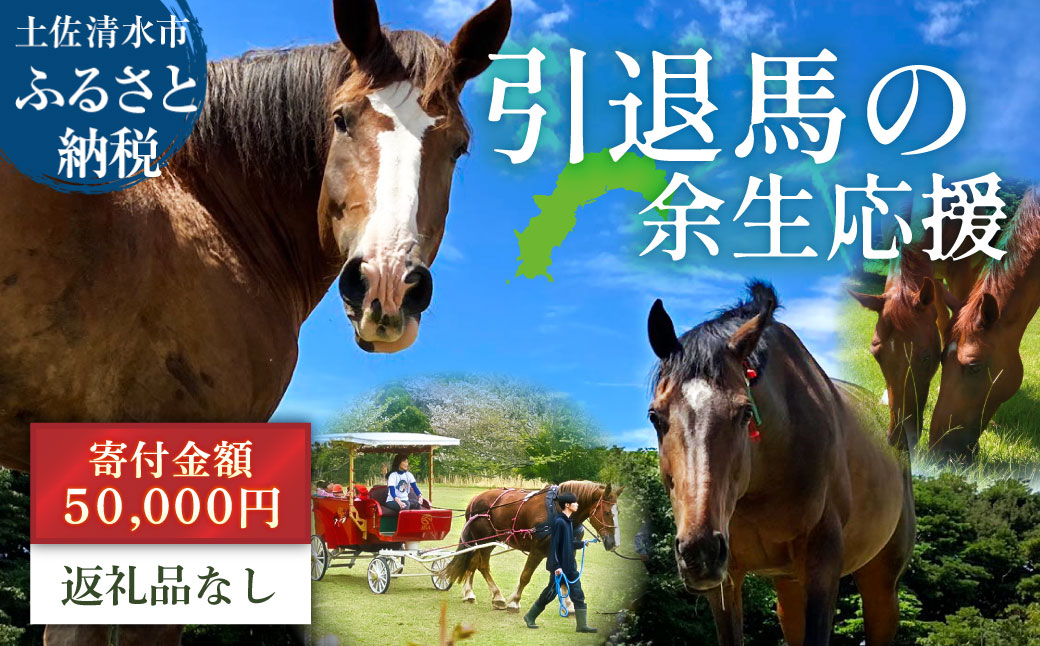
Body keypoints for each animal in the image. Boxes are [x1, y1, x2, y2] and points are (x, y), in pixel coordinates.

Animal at [443, 481, 622, 613]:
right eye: (607, 512)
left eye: (618, 512)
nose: (614, 544)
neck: (559, 511)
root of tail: (475, 499)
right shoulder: (537, 551)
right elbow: (525, 576)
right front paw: (514, 602)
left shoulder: (567, 550)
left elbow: (566, 577)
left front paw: (569, 605)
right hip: (483, 540)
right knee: (482, 565)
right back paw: (497, 597)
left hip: (487, 541)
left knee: (473, 562)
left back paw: (469, 593)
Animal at [647, 282, 915, 646]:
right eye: (655, 416)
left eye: (745, 412)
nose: (699, 551)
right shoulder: (727, 578)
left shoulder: (822, 563)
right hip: (788, 585)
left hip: (881, 580)